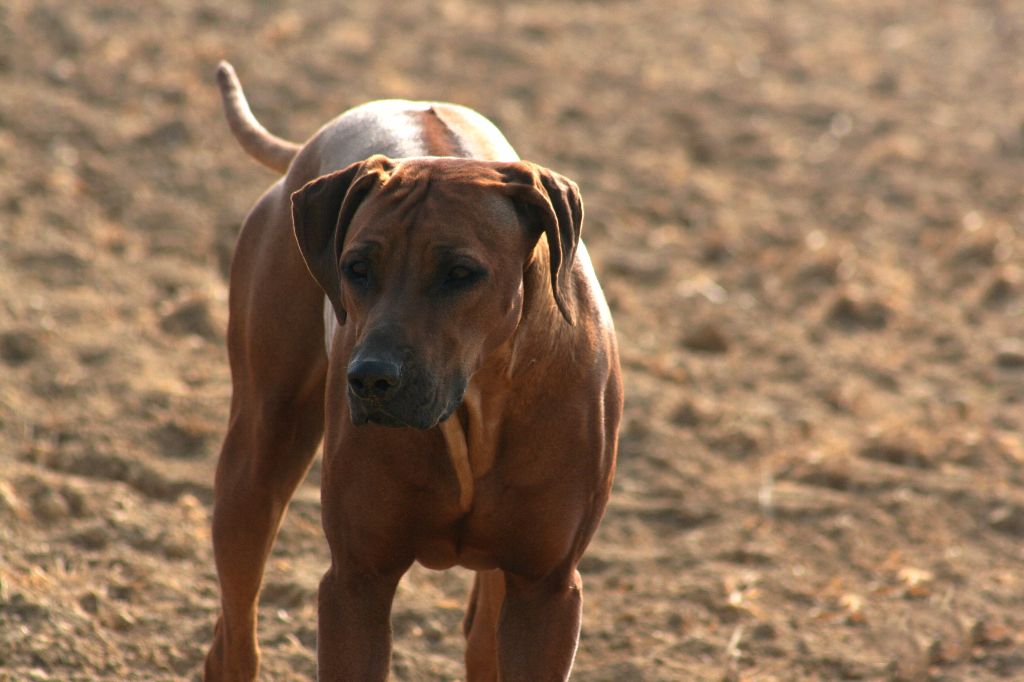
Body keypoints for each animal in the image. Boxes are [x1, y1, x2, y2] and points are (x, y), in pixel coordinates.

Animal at [202, 59, 618, 679]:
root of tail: (307, 147)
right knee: (236, 631)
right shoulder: (357, 582)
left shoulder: (546, 589)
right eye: (356, 267)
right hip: (256, 453)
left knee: (482, 640)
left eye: (461, 273)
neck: (478, 404)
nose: (371, 379)